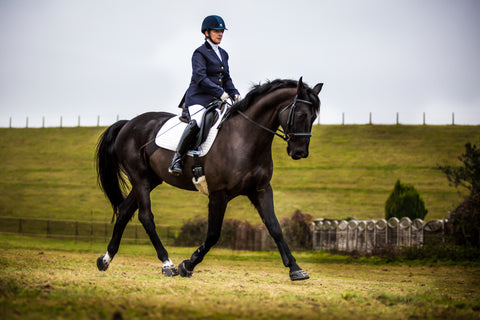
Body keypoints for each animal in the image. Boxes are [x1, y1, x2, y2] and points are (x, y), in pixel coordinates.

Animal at [94, 77, 322, 280]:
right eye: (300, 114)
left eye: (313, 117)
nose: (300, 152)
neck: (244, 137)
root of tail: (129, 123)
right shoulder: (218, 193)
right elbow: (213, 234)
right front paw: (187, 265)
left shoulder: (261, 190)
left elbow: (275, 227)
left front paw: (295, 269)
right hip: (140, 178)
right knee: (145, 217)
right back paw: (167, 264)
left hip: (150, 180)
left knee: (125, 211)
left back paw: (105, 259)